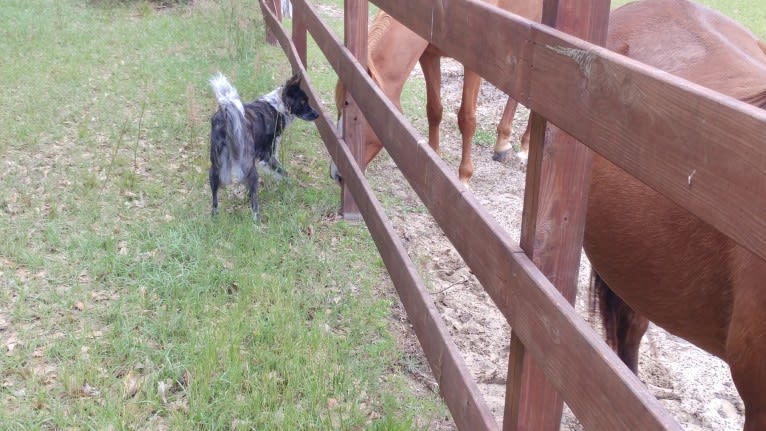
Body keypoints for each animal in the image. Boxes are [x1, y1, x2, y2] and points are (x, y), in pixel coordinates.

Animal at [208, 72, 320, 221]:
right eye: (303, 102)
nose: (317, 114)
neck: (277, 106)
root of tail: (226, 114)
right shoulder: (268, 155)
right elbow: (284, 173)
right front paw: (292, 186)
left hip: (216, 165)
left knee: (214, 195)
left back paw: (214, 217)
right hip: (249, 164)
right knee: (254, 195)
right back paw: (256, 219)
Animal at [332, 0, 544, 184]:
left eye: (357, 114)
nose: (337, 173)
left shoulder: (473, 65)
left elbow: (466, 119)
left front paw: (464, 179)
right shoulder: (429, 55)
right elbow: (434, 110)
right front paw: (434, 161)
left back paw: (524, 150)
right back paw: (502, 143)